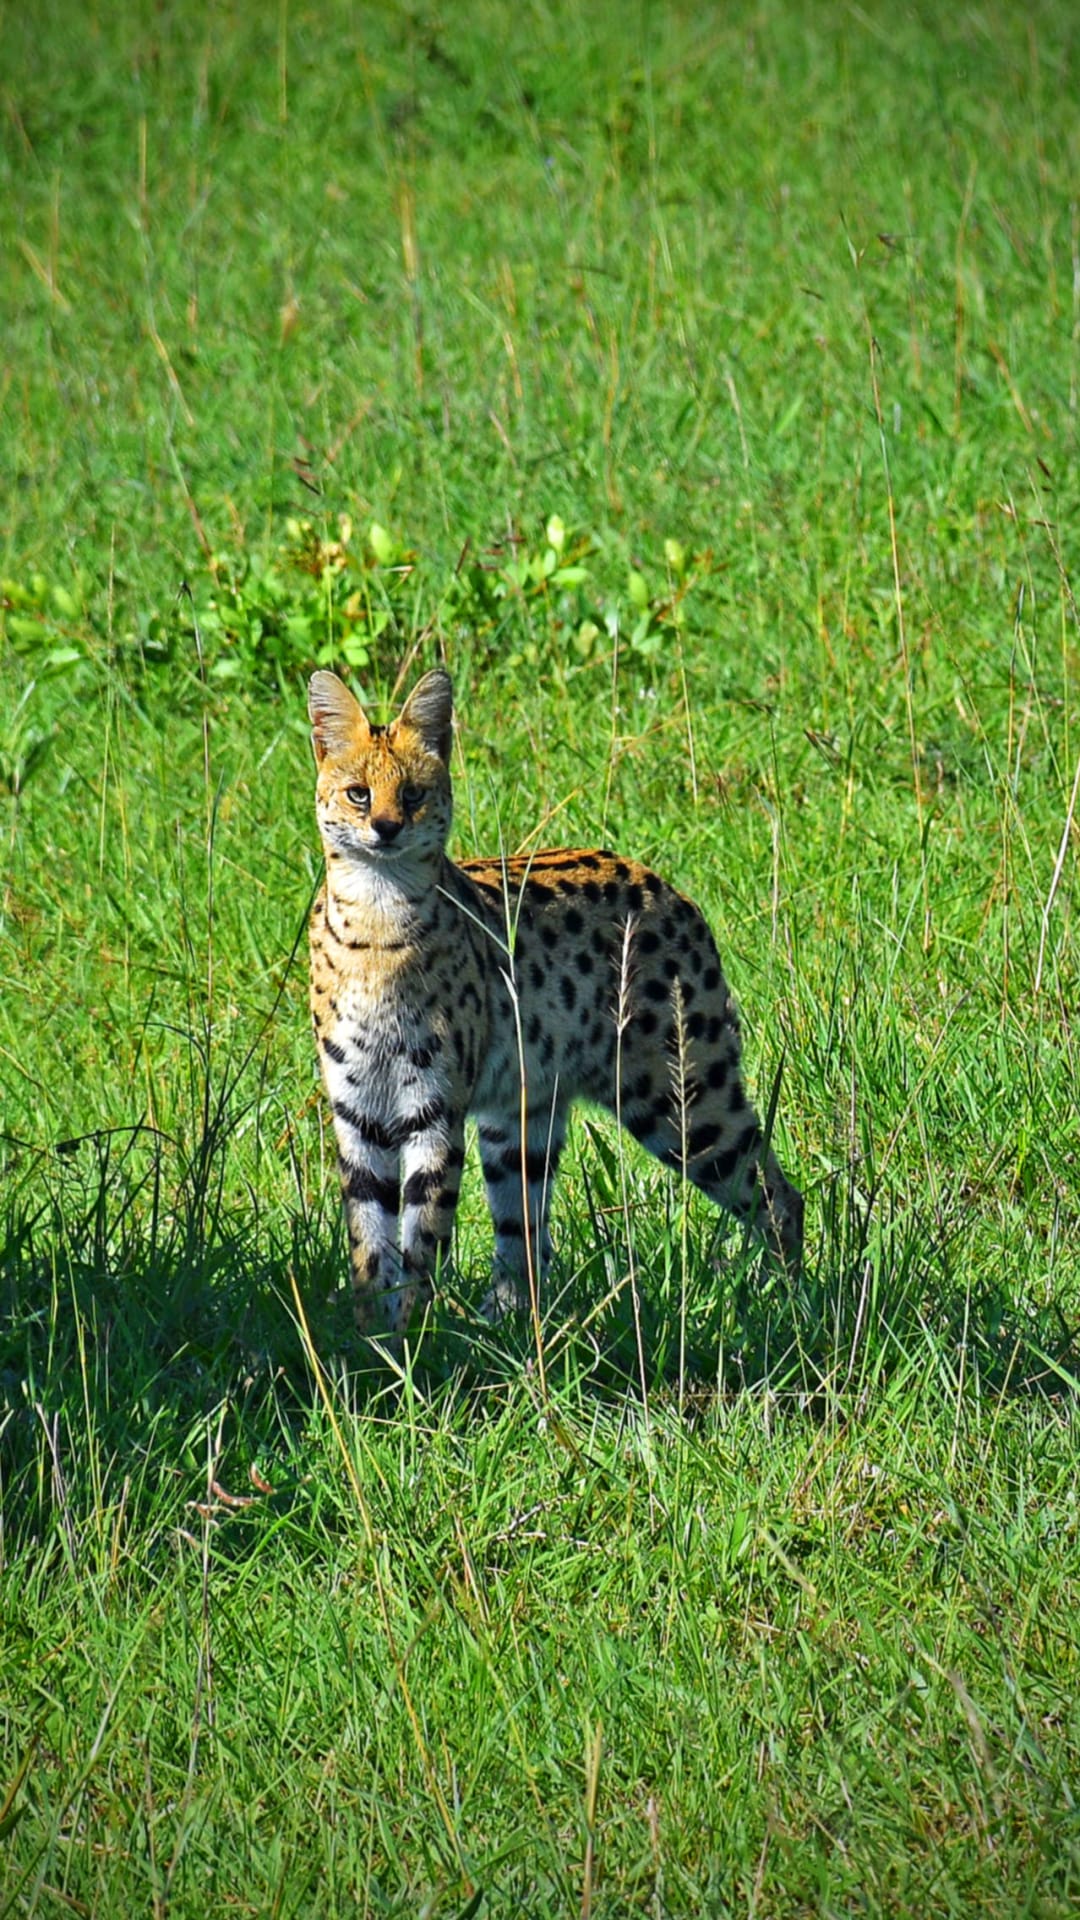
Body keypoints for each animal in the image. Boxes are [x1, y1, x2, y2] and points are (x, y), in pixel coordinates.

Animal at [305, 672, 799, 1336]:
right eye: (358, 794)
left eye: (412, 794)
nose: (386, 828)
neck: (376, 919)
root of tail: (667, 887)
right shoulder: (358, 1109)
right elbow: (368, 1238)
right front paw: (370, 1338)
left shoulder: (432, 1105)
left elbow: (422, 1234)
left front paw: (414, 1335)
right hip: (523, 1116)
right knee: (527, 1237)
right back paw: (505, 1324)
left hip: (680, 1098)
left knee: (779, 1194)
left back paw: (797, 1307)